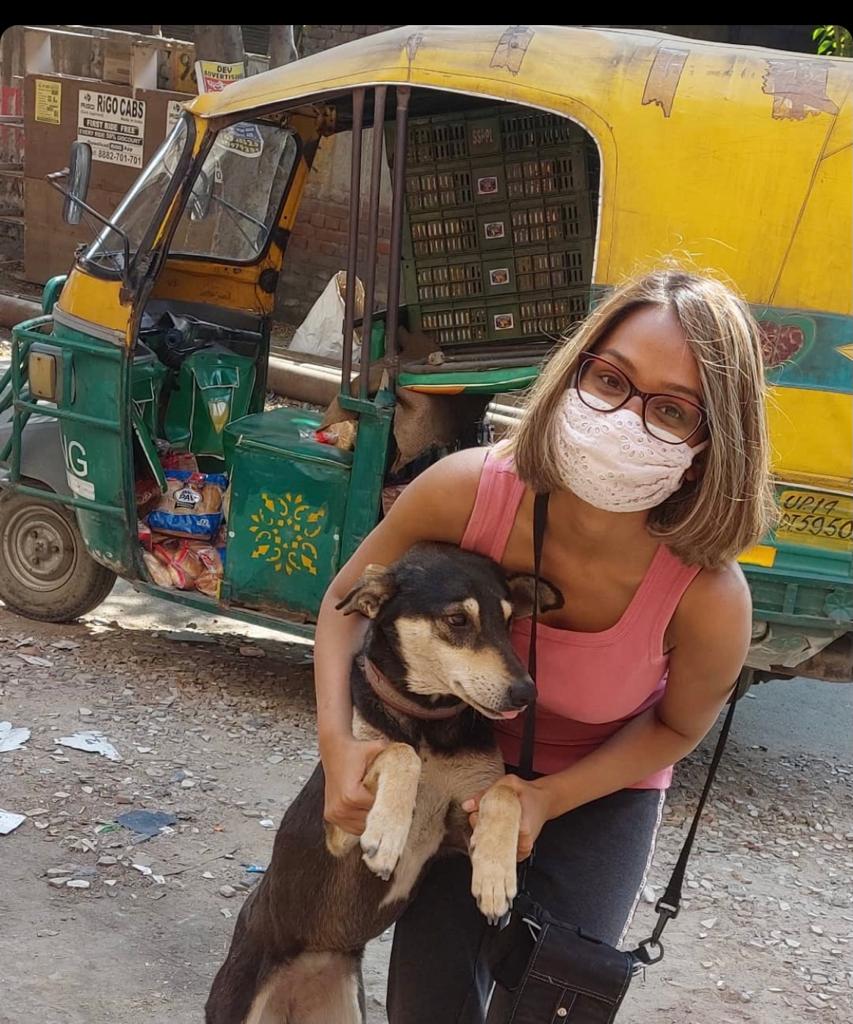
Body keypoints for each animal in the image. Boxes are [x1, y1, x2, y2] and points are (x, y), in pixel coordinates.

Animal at [207, 544, 557, 1024]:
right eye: (457, 620)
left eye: (508, 621)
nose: (527, 694)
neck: (427, 725)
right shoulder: (340, 820)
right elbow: (398, 753)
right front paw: (388, 833)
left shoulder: (458, 829)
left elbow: (505, 791)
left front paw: (496, 876)